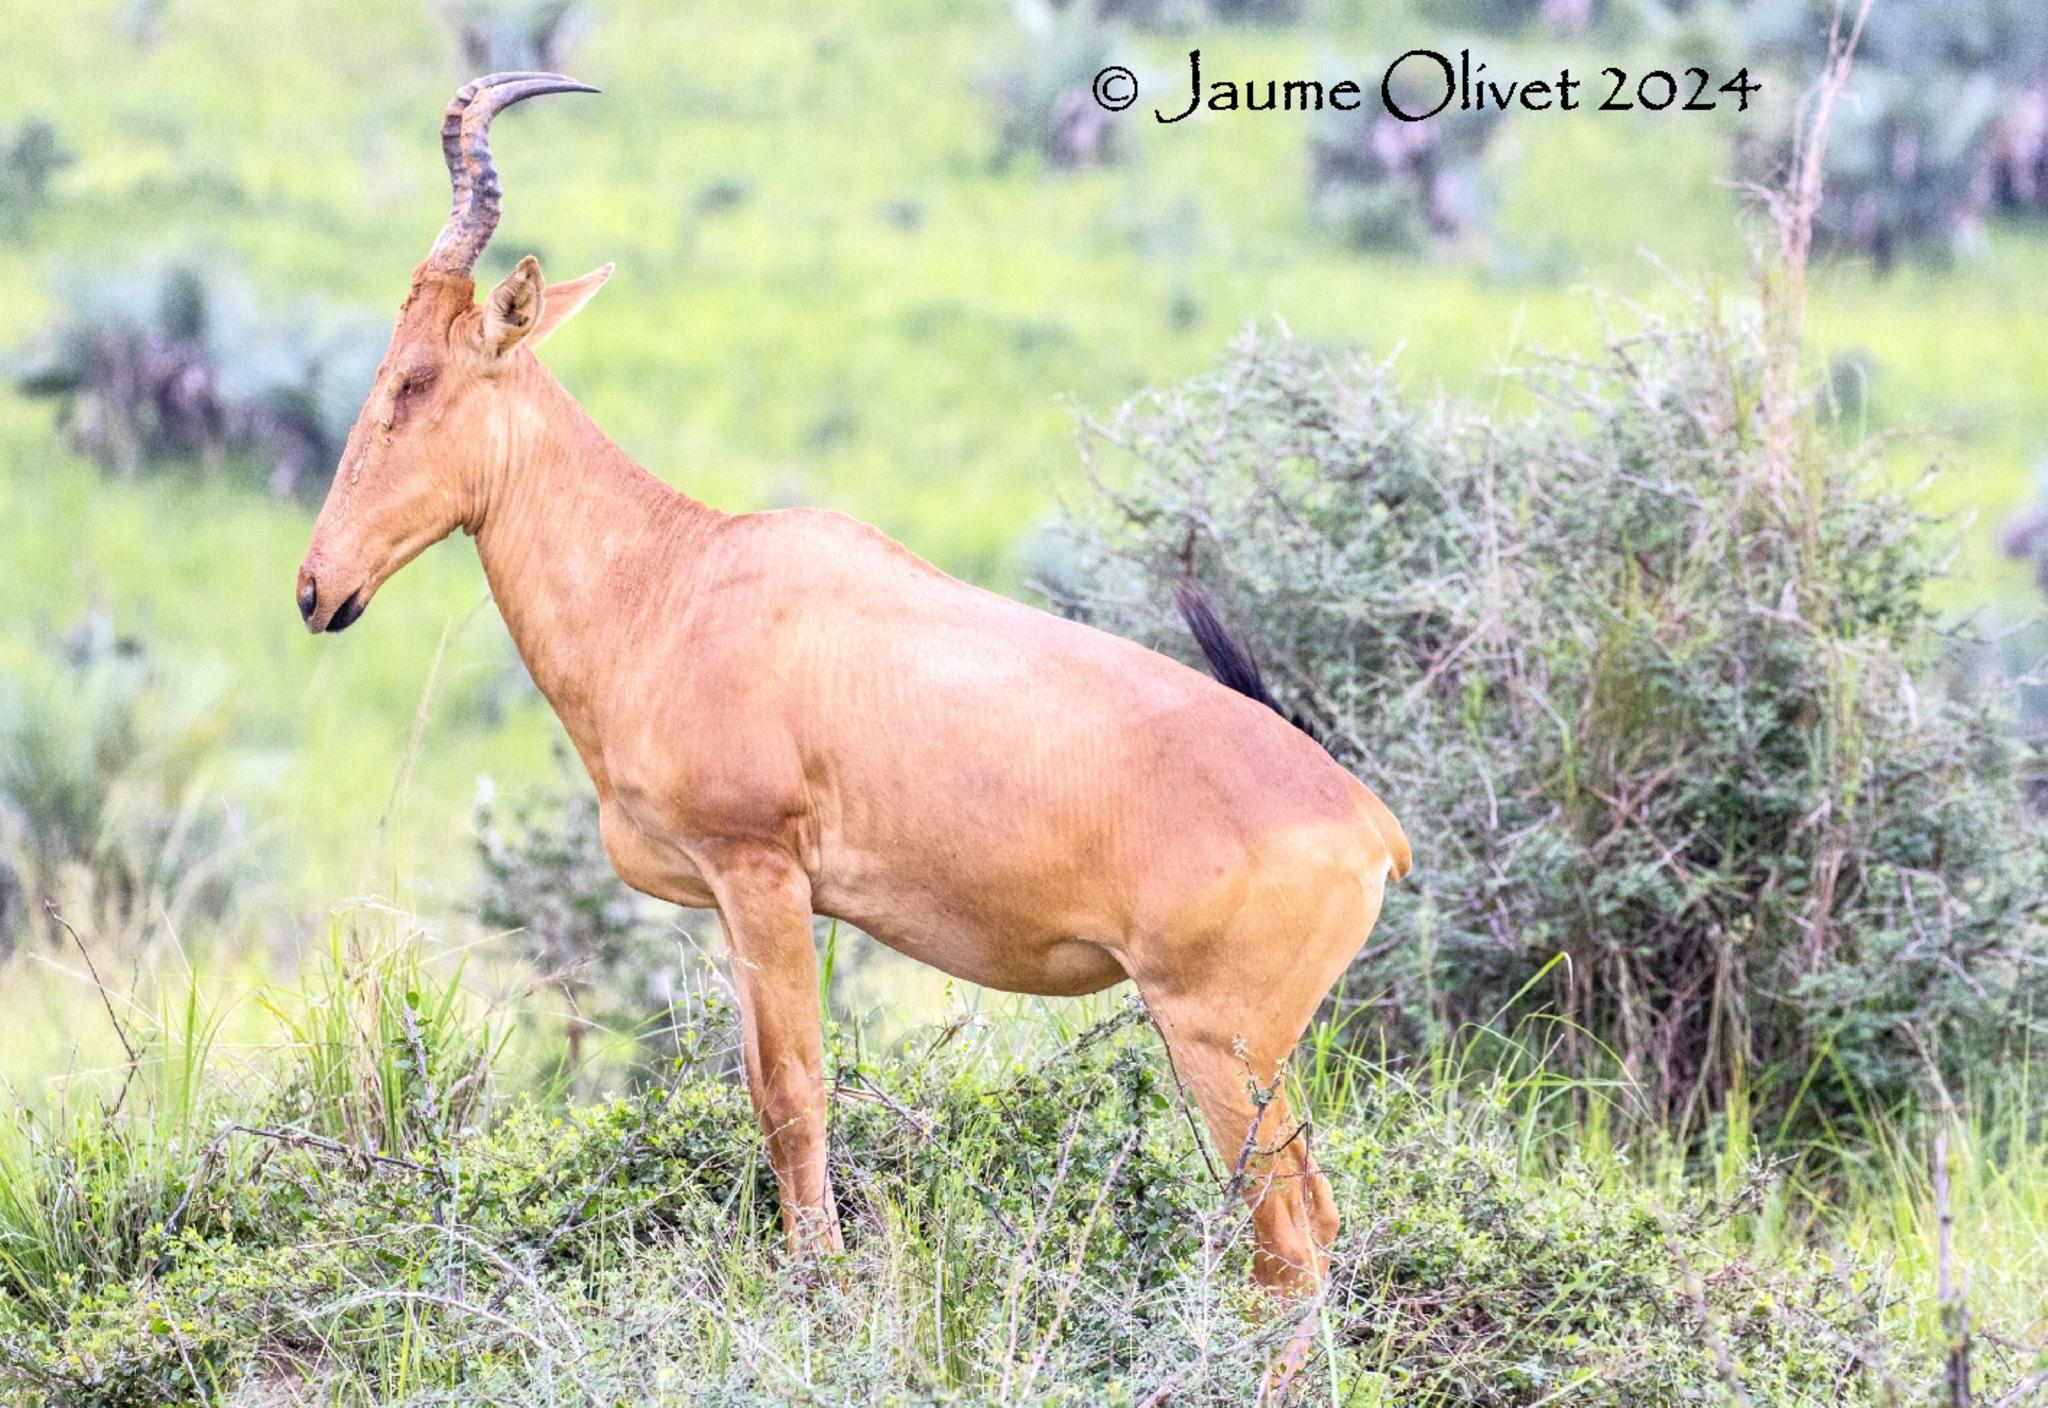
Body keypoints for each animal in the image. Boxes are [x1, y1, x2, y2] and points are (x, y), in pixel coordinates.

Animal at [296, 76, 1400, 1301]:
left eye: (415, 377)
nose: (318, 589)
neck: (678, 576)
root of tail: (1367, 822)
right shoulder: (728, 898)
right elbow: (757, 1086)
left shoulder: (764, 874)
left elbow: (794, 1095)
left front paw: (818, 1287)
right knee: (1320, 1218)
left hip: (1217, 1039)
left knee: (1290, 1240)